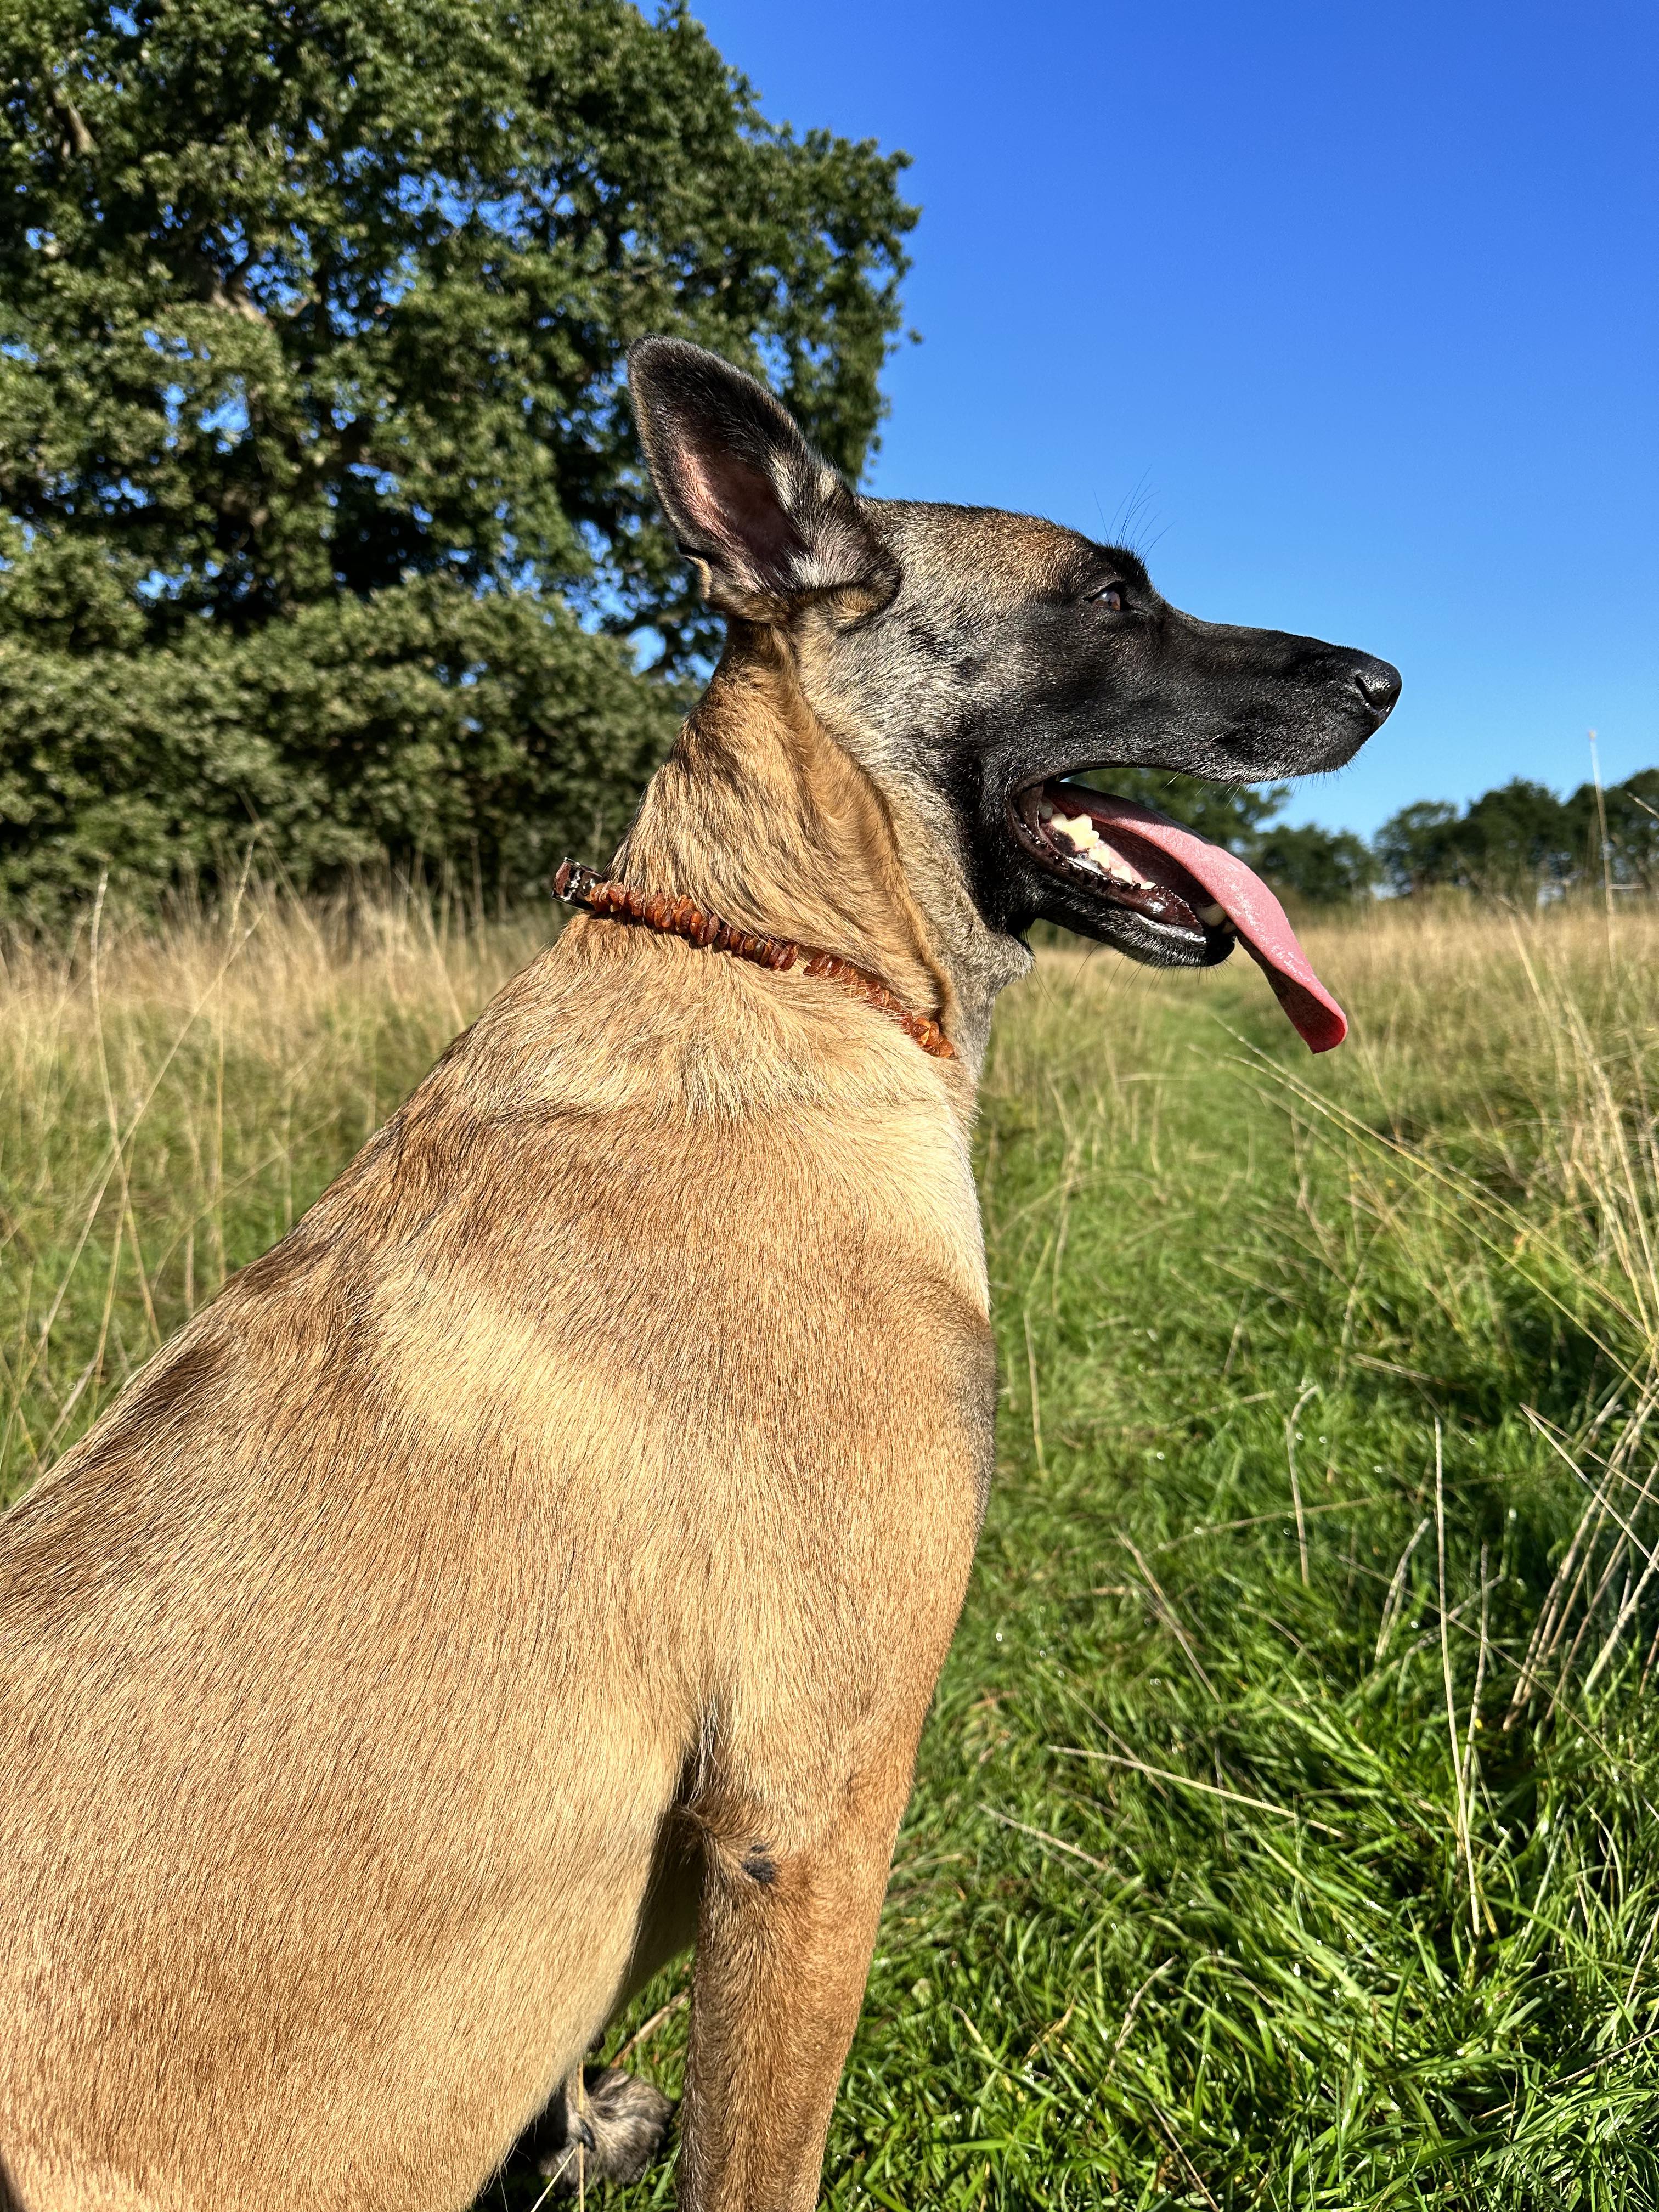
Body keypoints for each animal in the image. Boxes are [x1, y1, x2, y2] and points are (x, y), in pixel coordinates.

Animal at [0, 336, 1407, 2203]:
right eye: (1110, 596)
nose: (1387, 679)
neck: (787, 952)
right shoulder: (808, 1815)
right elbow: (765, 2159)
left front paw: (584, 2131)